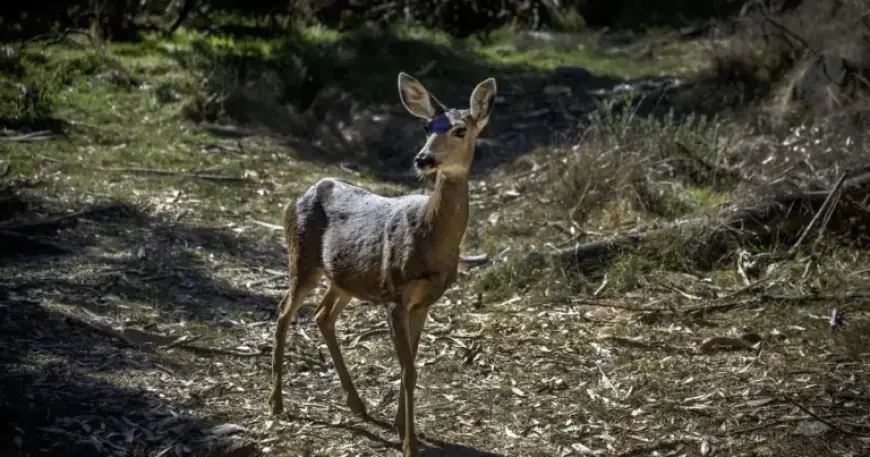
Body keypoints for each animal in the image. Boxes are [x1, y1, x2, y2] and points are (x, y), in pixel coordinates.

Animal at [269, 72, 497, 457]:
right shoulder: (395, 293)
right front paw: (408, 443)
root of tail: (304, 191)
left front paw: (402, 427)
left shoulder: (424, 302)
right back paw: (277, 403)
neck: (431, 242)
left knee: (322, 315)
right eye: (426, 126)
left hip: (344, 277)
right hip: (302, 257)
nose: (423, 159)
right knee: (284, 311)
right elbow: (408, 368)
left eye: (460, 129)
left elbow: (411, 365)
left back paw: (357, 405)